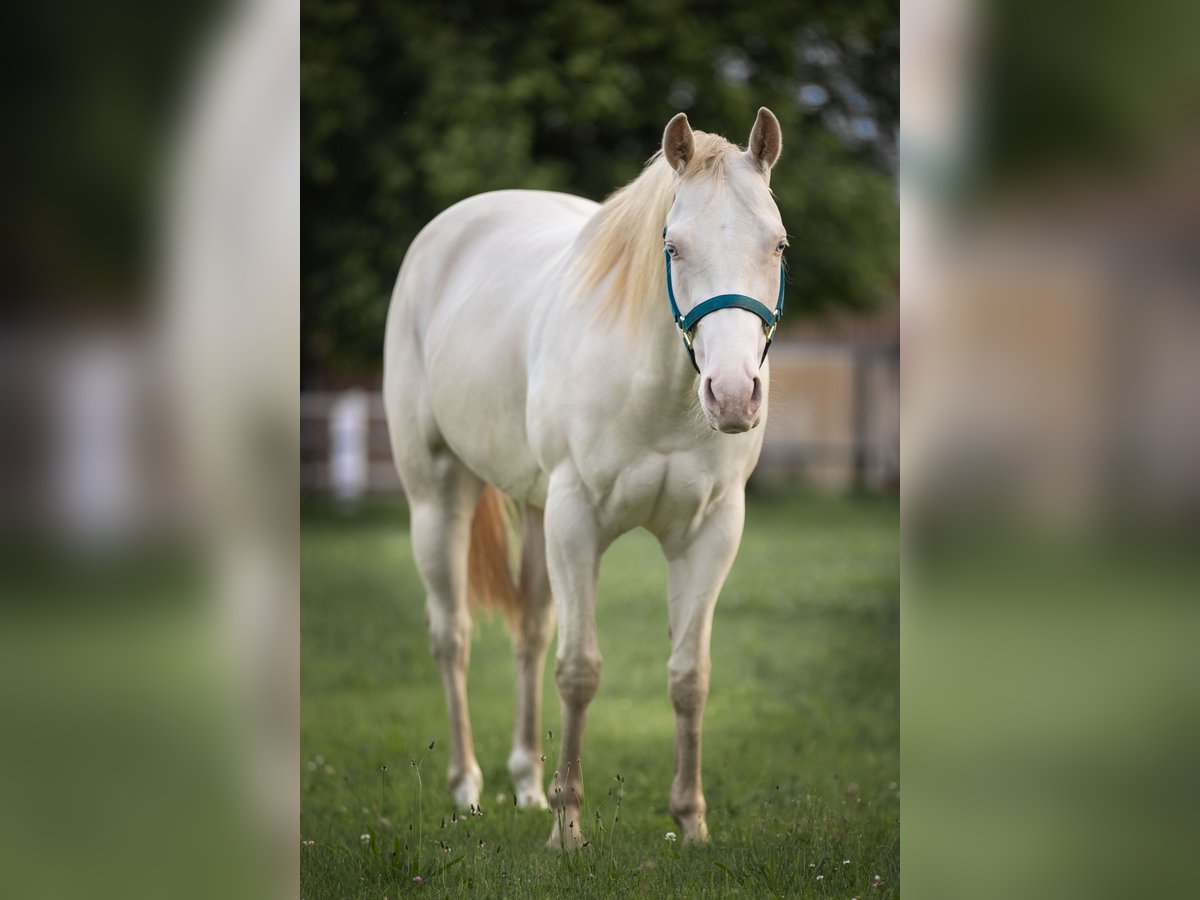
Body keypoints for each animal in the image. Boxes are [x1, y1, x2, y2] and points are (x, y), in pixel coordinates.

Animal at [384, 109, 787, 849]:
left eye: (777, 245)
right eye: (673, 248)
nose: (733, 394)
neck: (658, 391)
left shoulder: (710, 532)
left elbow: (689, 677)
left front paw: (691, 823)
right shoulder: (576, 523)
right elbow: (578, 672)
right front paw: (568, 829)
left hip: (537, 511)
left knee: (530, 631)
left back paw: (524, 783)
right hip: (438, 500)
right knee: (452, 637)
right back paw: (467, 786)